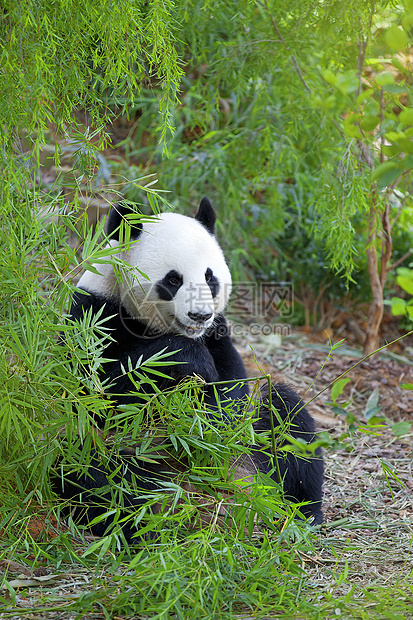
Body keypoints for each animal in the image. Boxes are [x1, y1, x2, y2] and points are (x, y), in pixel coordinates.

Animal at [54, 200, 324, 544]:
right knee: (96, 474)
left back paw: (300, 514)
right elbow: (98, 395)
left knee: (288, 421)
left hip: (257, 445)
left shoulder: (218, 334)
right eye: (173, 280)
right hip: (114, 452)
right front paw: (187, 361)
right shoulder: (93, 317)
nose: (199, 315)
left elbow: (232, 395)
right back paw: (144, 527)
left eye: (210, 277)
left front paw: (205, 418)